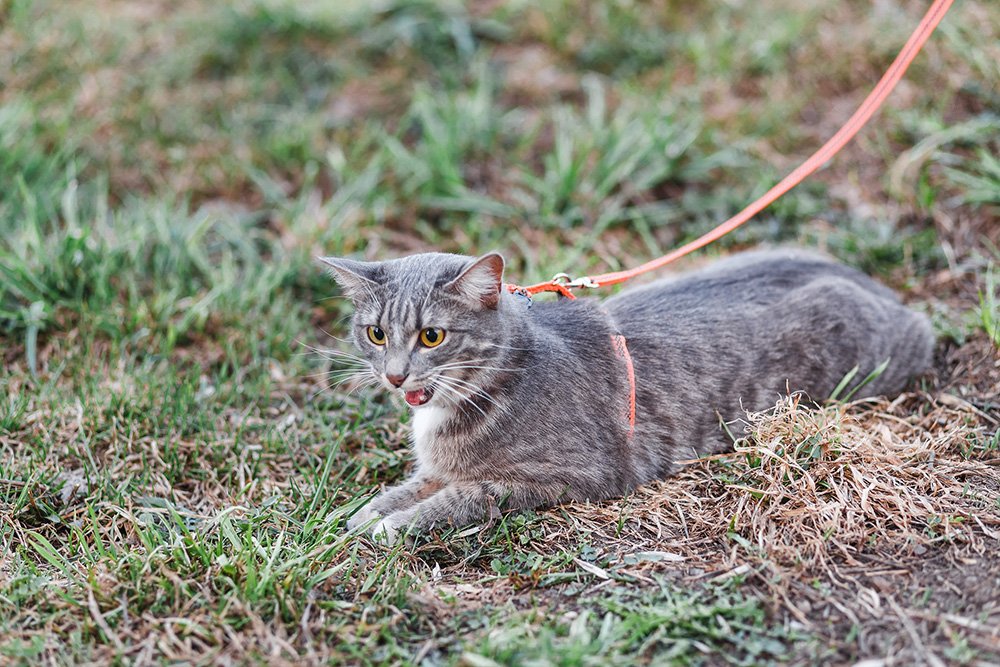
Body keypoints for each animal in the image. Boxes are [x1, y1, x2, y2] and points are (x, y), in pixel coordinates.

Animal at [322, 248, 936, 540]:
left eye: (432, 336)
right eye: (375, 334)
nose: (395, 376)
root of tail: (885, 292)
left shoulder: (570, 476)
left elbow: (462, 498)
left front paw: (389, 528)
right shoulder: (435, 467)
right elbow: (406, 489)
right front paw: (361, 515)